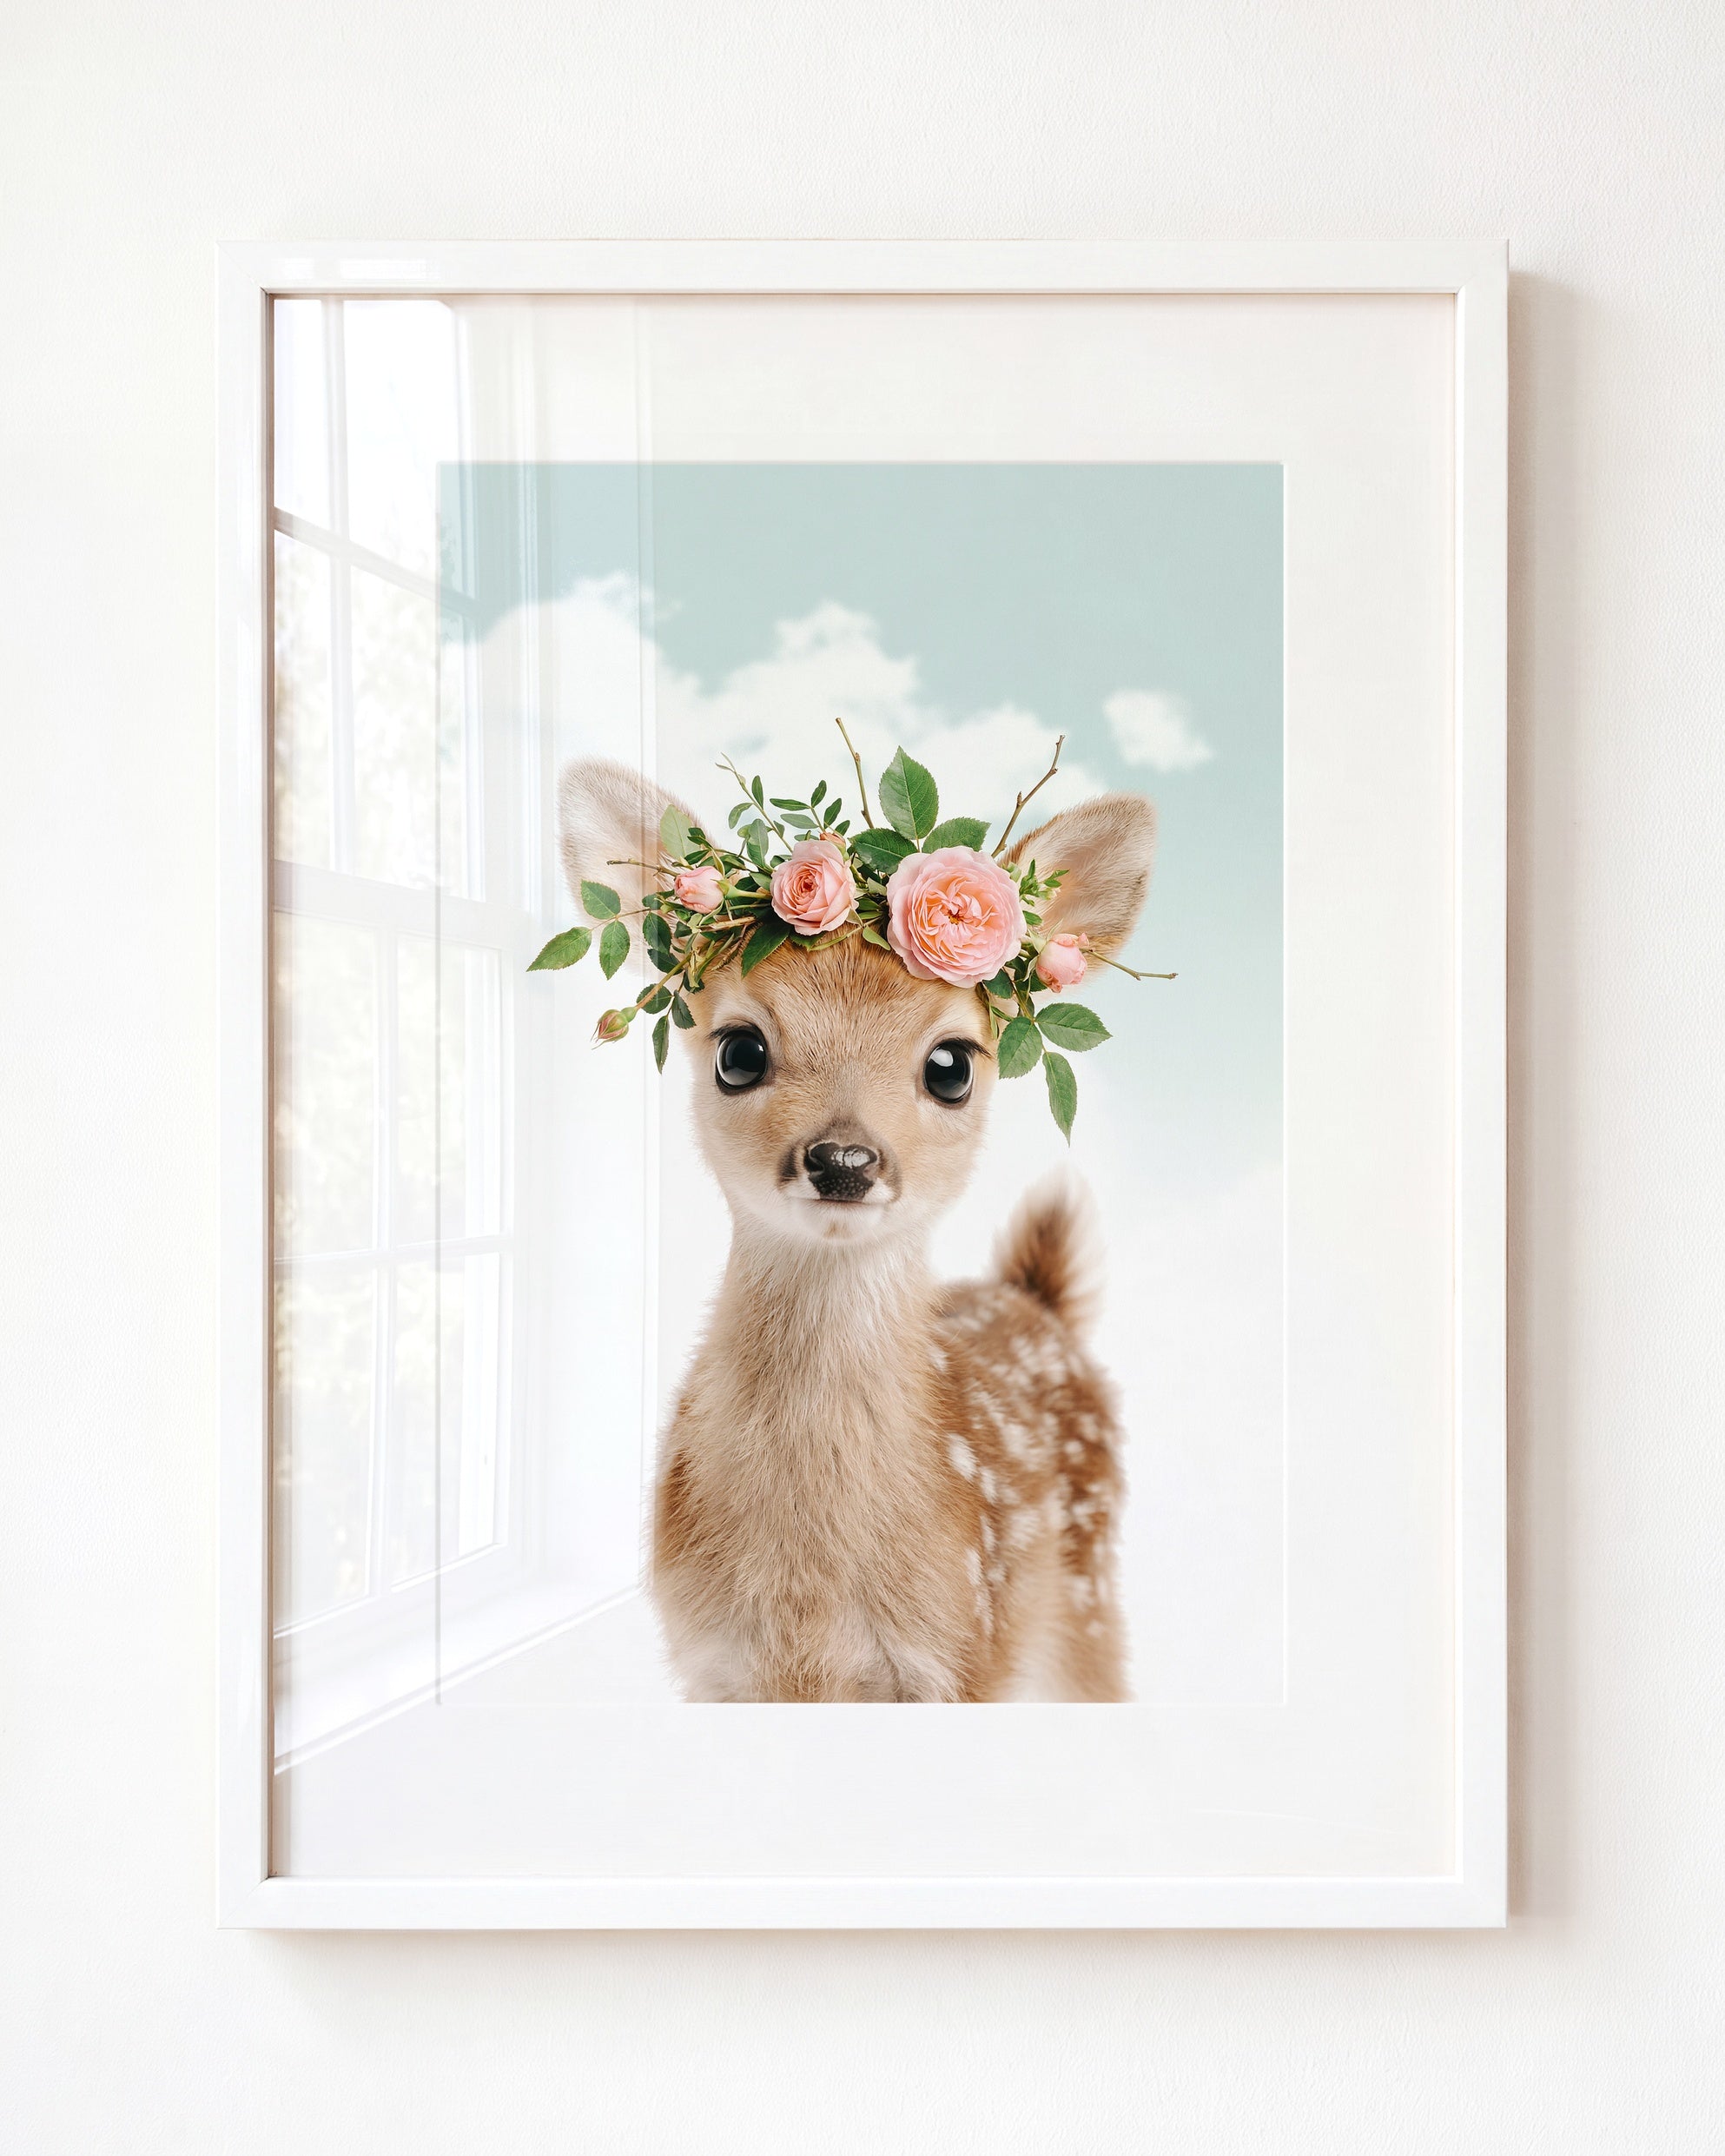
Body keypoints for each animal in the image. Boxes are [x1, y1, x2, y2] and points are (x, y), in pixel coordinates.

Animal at [559, 756, 1157, 1702]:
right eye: (738, 1051)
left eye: (951, 1065)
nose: (843, 1158)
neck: (810, 1597)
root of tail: (1037, 1301)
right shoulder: (711, 1664)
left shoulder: (960, 1653)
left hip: (1085, 1602)